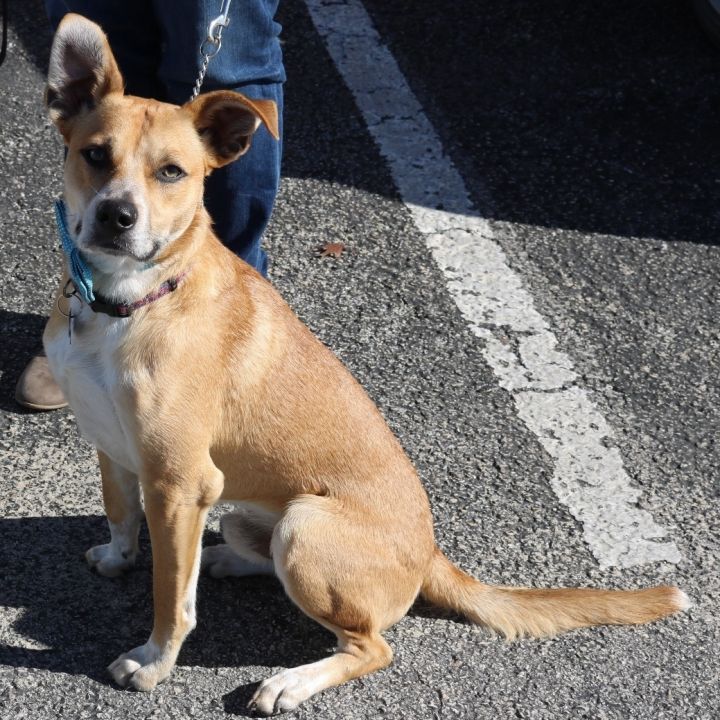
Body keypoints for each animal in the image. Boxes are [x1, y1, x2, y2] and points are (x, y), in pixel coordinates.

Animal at [42, 15, 688, 716]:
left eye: (171, 172)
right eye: (95, 154)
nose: (116, 215)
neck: (126, 304)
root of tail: (432, 554)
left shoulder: (179, 482)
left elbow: (172, 596)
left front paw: (154, 662)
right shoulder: (112, 442)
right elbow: (118, 508)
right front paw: (118, 556)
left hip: (306, 528)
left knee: (374, 644)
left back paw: (290, 681)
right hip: (254, 512)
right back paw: (230, 561)